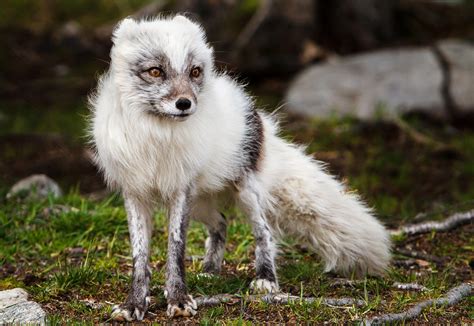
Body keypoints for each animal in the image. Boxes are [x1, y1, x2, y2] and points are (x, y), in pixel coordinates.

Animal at [89, 14, 388, 320]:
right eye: (156, 71)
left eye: (194, 72)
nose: (184, 104)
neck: (157, 137)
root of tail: (257, 114)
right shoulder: (135, 193)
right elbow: (140, 256)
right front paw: (134, 303)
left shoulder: (180, 191)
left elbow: (176, 249)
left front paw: (178, 299)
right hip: (201, 203)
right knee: (221, 223)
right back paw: (210, 271)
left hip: (245, 195)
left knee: (264, 231)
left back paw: (266, 278)